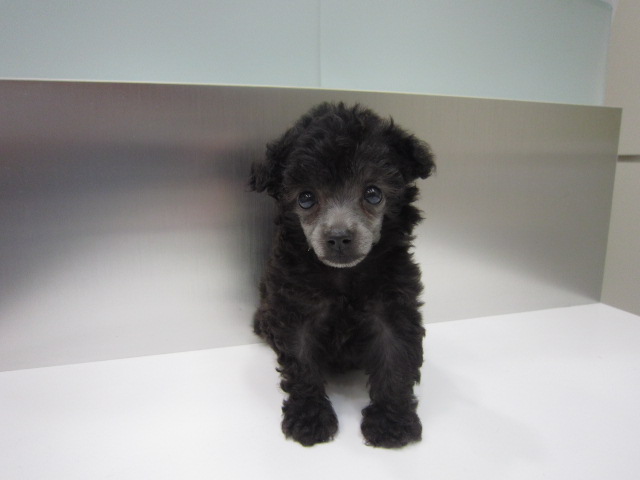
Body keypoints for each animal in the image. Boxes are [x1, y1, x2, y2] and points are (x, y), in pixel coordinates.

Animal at [249, 102, 435, 448]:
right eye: (306, 198)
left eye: (373, 194)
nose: (338, 238)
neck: (344, 278)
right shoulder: (295, 312)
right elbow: (302, 367)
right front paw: (309, 418)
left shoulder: (394, 308)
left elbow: (396, 362)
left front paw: (392, 422)